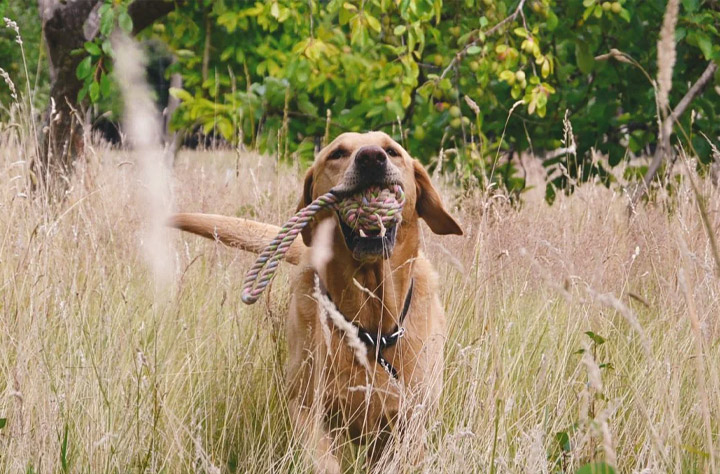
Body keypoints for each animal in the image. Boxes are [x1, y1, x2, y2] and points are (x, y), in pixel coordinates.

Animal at [170, 131, 462, 472]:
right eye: (337, 153)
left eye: (392, 151)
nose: (371, 158)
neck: (368, 322)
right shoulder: (308, 408)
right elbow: (321, 461)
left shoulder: (410, 422)